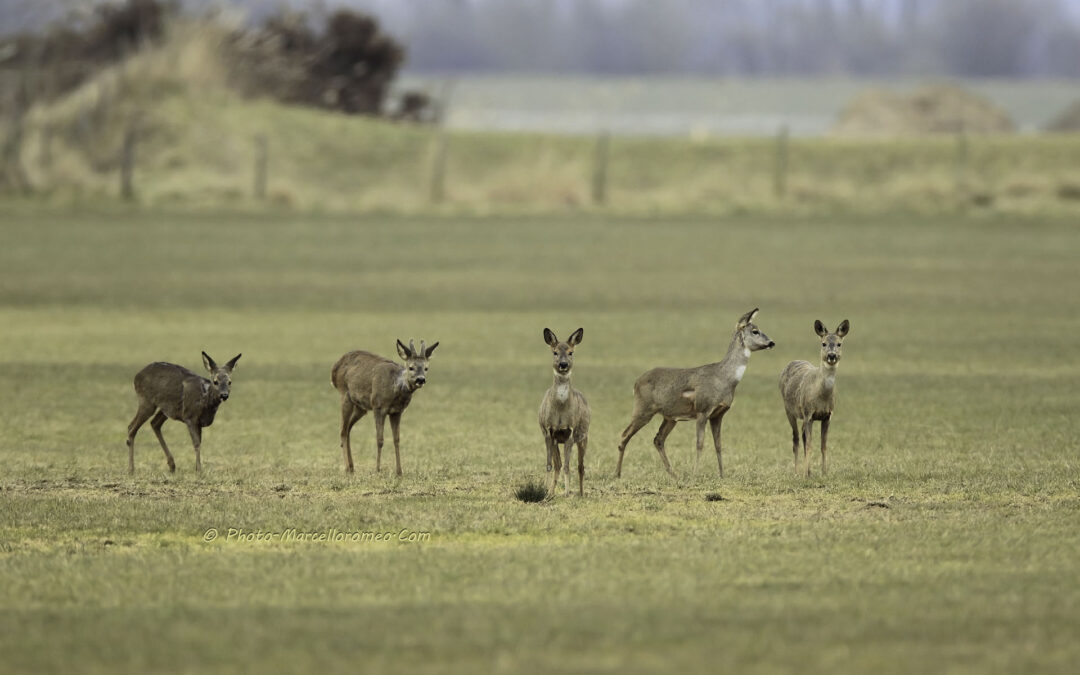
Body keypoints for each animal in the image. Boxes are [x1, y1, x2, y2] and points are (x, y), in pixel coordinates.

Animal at [334, 336, 440, 473]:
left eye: (426, 368)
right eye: (411, 367)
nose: (420, 379)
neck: (395, 389)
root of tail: (334, 369)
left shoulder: (397, 411)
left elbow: (397, 440)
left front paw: (399, 471)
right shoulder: (378, 406)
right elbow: (380, 439)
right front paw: (378, 469)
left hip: (360, 407)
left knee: (348, 429)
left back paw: (352, 467)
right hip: (344, 394)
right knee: (342, 430)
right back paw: (347, 468)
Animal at [537, 328, 591, 496]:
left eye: (570, 352)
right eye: (554, 352)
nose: (563, 364)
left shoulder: (570, 432)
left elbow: (568, 466)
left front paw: (567, 493)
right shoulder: (548, 431)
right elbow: (550, 464)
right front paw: (544, 491)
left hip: (583, 437)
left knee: (581, 466)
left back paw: (581, 494)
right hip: (556, 440)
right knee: (558, 464)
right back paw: (551, 492)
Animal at [617, 308, 777, 477]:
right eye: (755, 331)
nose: (771, 342)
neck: (724, 378)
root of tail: (636, 383)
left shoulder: (718, 414)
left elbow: (718, 445)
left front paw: (722, 475)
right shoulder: (703, 409)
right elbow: (700, 444)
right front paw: (695, 474)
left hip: (669, 417)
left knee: (658, 439)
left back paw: (674, 475)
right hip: (643, 409)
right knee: (625, 435)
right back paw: (617, 474)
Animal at [781, 317, 846, 477]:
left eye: (839, 344)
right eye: (823, 343)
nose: (831, 355)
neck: (821, 396)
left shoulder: (827, 415)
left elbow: (823, 445)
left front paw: (824, 472)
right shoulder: (808, 412)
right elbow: (810, 445)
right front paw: (804, 474)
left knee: (803, 436)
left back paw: (809, 471)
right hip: (789, 410)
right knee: (796, 439)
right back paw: (797, 472)